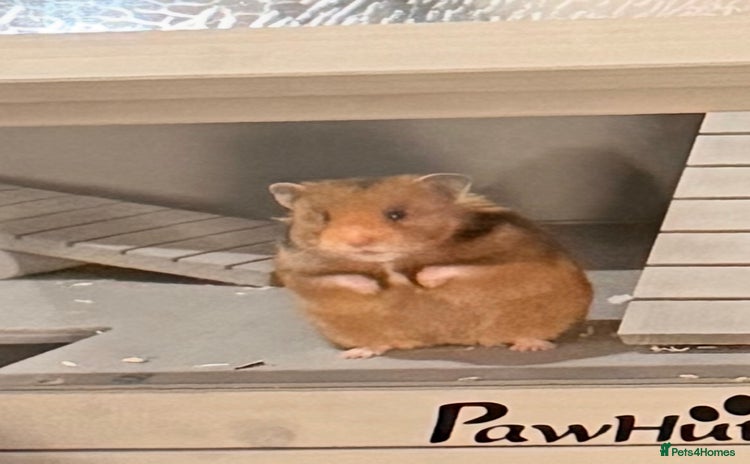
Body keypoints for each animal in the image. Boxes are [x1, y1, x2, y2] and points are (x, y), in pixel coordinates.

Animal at [269, 174, 592, 359]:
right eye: (323, 217)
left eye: (396, 214)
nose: (358, 241)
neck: (387, 259)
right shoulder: (297, 272)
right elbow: (337, 277)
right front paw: (376, 287)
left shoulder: (515, 257)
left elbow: (463, 269)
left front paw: (420, 282)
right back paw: (357, 353)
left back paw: (530, 344)